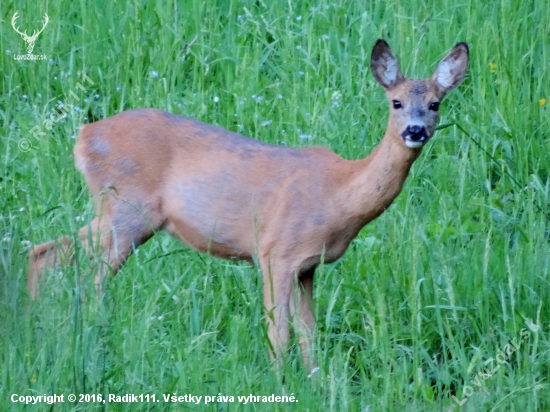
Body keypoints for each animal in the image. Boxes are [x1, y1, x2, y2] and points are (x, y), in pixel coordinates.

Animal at [29, 40, 470, 372]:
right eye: (396, 102)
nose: (415, 130)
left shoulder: (307, 267)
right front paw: (280, 384)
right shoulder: (276, 252)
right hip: (126, 211)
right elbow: (279, 334)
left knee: (48, 252)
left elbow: (309, 334)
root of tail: (84, 135)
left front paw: (315, 383)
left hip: (118, 213)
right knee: (84, 273)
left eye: (435, 104)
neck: (340, 195)